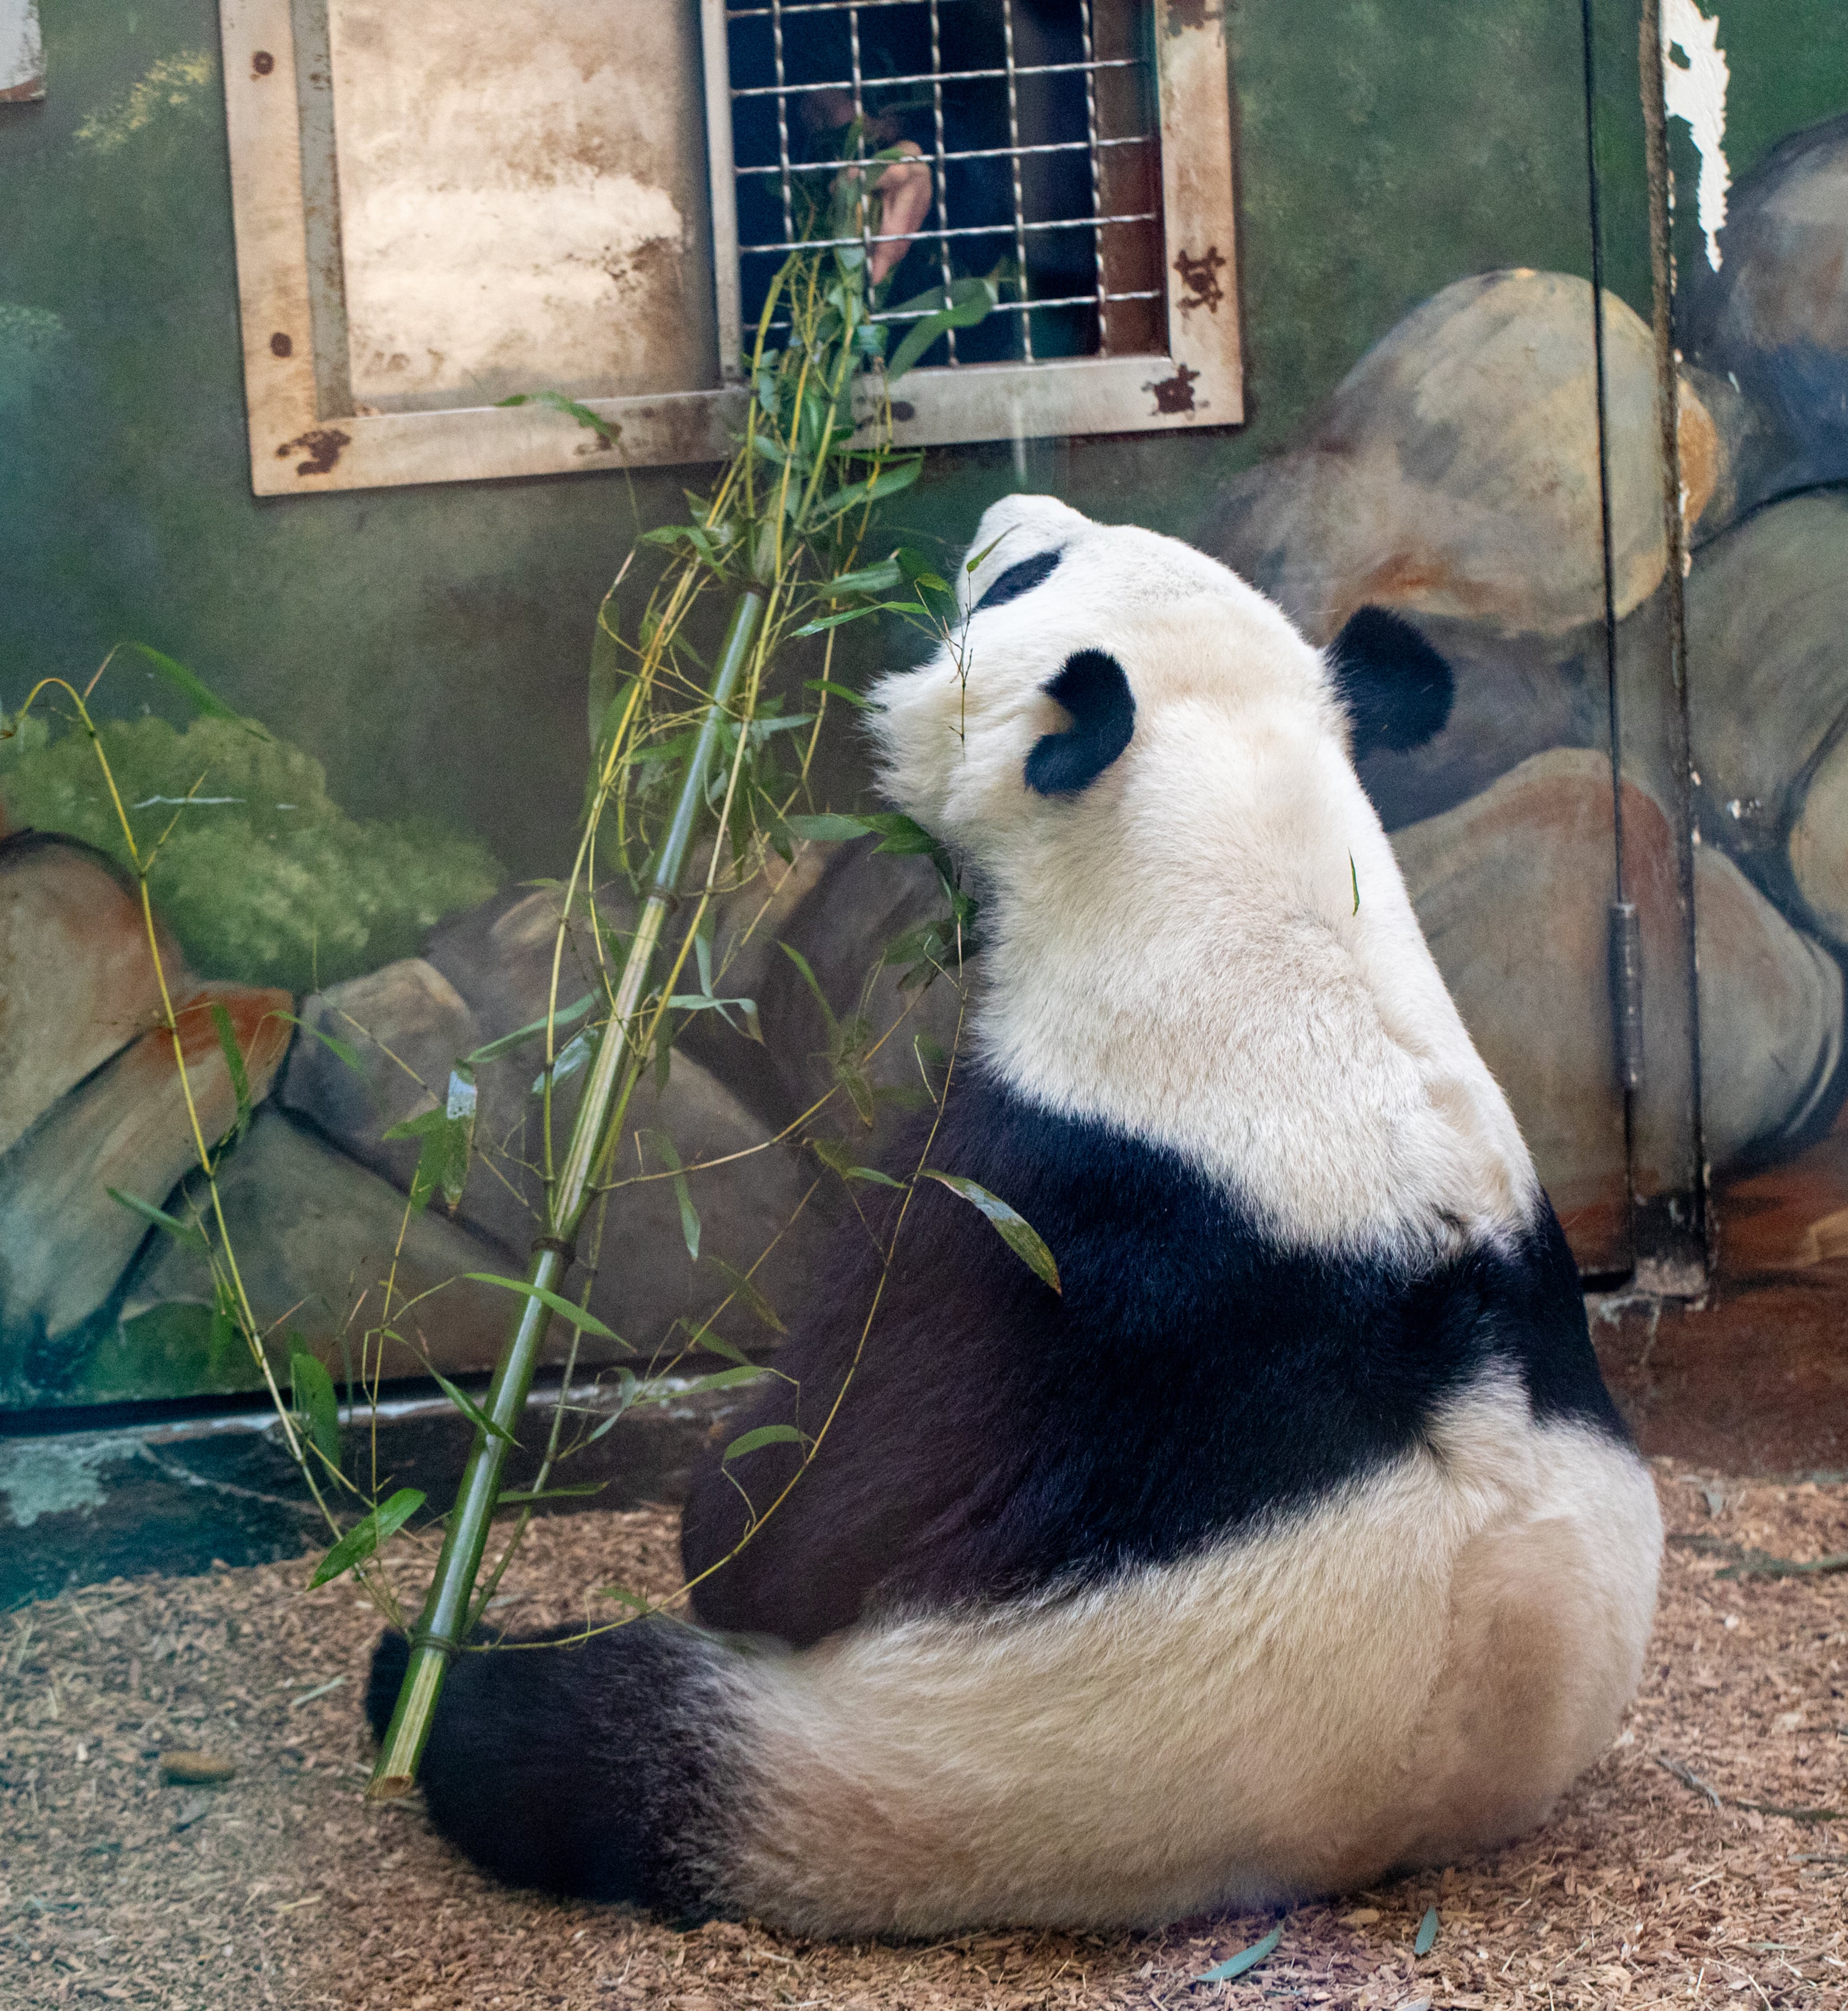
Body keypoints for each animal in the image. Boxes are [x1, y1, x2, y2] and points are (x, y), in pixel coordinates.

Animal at [368, 494, 1662, 1936]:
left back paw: (422, 1685)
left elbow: (793, 1509)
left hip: (899, 1764)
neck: (1243, 868)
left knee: (577, 1744)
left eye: (1025, 577)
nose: (1007, 511)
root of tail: (1381, 1841)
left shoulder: (1035, 1203)